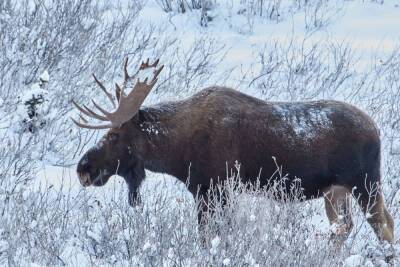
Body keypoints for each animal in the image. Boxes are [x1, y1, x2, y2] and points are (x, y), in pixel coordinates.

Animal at [72, 58, 394, 245]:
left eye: (113, 135)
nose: (83, 168)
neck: (175, 153)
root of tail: (377, 129)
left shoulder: (213, 189)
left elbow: (209, 238)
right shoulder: (214, 191)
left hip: (364, 183)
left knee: (384, 228)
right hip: (336, 191)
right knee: (346, 229)